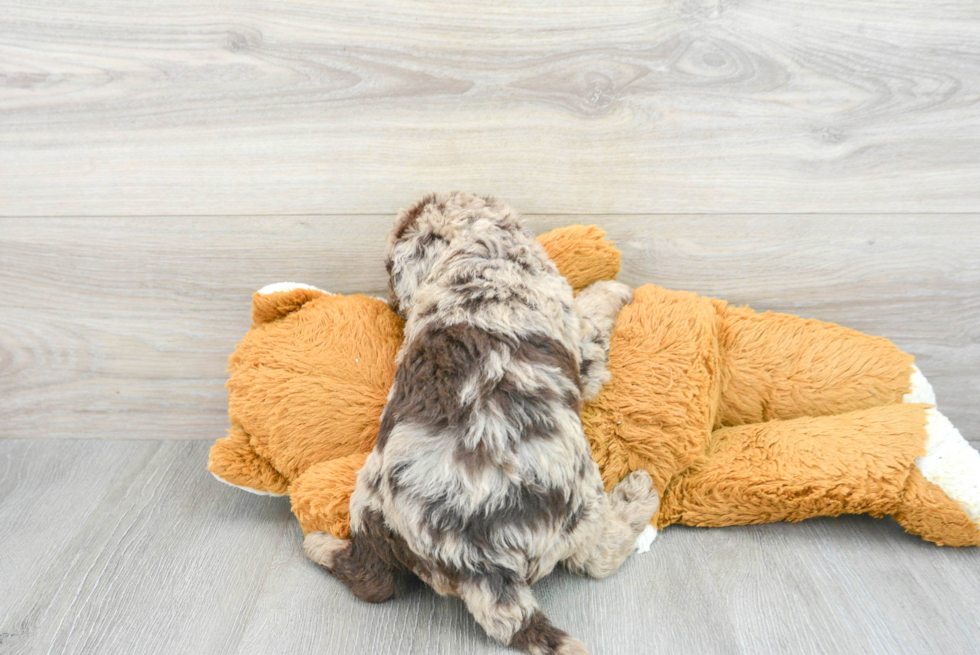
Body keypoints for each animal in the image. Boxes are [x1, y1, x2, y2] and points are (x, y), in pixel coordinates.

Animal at [306, 191, 660, 655]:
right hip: (581, 506)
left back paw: (318, 544)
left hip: (368, 502)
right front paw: (614, 289)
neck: (473, 247)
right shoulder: (582, 345)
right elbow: (591, 309)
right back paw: (637, 495)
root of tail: (479, 567)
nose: (392, 303)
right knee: (599, 557)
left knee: (372, 580)